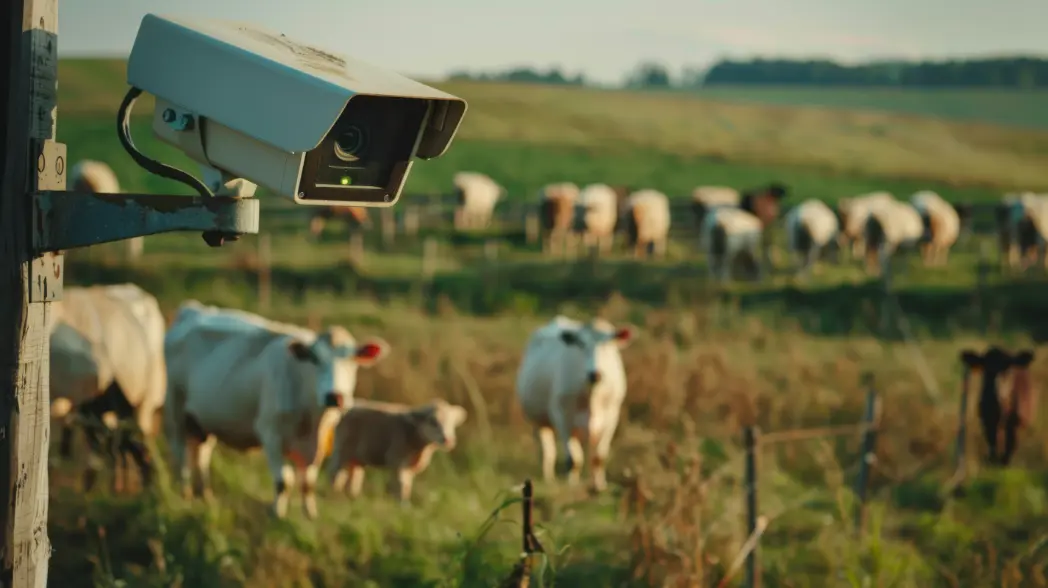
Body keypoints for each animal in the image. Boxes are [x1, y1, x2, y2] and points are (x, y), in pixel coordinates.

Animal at [163, 301, 391, 519]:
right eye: (315, 359)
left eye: (352, 360)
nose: (334, 396)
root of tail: (194, 309)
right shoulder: (270, 433)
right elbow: (283, 481)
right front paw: (277, 514)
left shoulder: (318, 443)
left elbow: (308, 483)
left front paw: (310, 514)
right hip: (175, 409)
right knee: (180, 452)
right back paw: (184, 493)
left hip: (203, 420)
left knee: (201, 454)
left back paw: (205, 495)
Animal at [328, 398, 467, 505]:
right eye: (432, 421)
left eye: (452, 423)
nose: (448, 440)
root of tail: (349, 410)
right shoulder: (397, 460)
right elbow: (400, 485)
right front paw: (402, 506)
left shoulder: (408, 467)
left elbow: (407, 486)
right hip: (341, 450)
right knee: (336, 474)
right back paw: (333, 495)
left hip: (357, 458)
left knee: (354, 477)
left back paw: (353, 498)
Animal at [515, 316, 637, 492]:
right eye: (581, 344)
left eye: (607, 343)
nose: (595, 374)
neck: (592, 396)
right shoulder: (562, 415)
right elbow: (573, 459)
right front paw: (572, 485)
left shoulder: (612, 415)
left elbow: (598, 457)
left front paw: (599, 486)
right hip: (539, 422)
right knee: (547, 451)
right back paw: (549, 479)